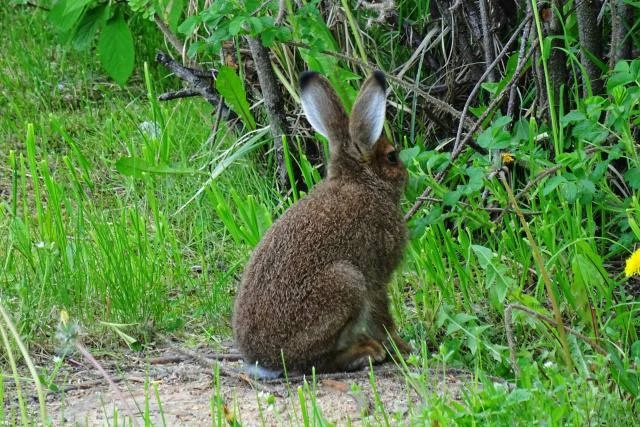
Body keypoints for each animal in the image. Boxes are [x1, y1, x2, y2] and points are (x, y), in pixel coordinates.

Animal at [232, 70, 410, 377]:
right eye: (392, 156)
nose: (406, 174)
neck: (362, 182)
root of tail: (265, 362)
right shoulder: (376, 275)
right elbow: (381, 315)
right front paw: (402, 348)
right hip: (346, 283)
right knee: (317, 362)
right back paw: (365, 353)